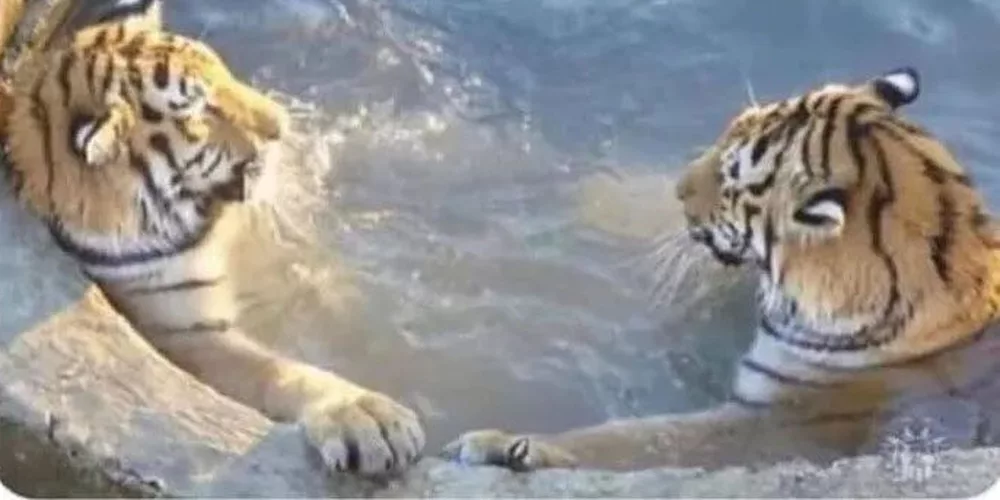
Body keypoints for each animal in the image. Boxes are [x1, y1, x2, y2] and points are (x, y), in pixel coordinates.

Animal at [0, 0, 424, 476]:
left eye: (222, 69)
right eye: (201, 111)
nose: (281, 126)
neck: (209, 216)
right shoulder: (185, 331)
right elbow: (276, 371)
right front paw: (364, 415)